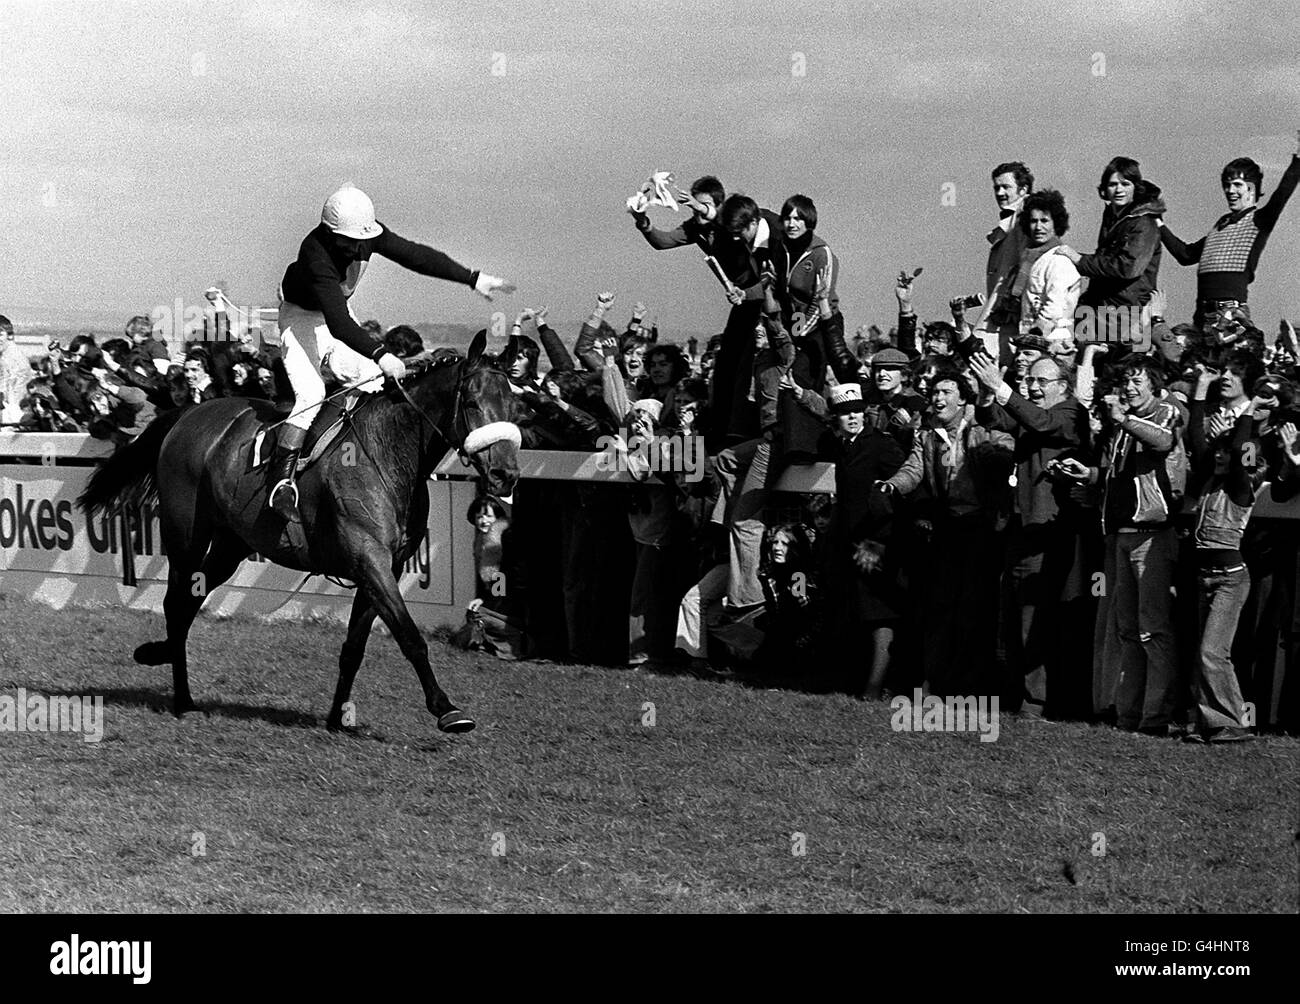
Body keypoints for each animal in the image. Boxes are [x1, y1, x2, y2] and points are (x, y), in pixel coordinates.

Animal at [77, 335, 517, 728]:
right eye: (472, 402)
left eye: (513, 404)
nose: (505, 474)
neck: (388, 451)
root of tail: (186, 415)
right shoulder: (369, 558)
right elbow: (409, 636)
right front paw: (447, 709)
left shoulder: (380, 568)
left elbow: (354, 647)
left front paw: (338, 718)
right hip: (186, 535)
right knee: (174, 604)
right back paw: (181, 697)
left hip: (230, 545)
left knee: (188, 603)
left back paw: (162, 659)